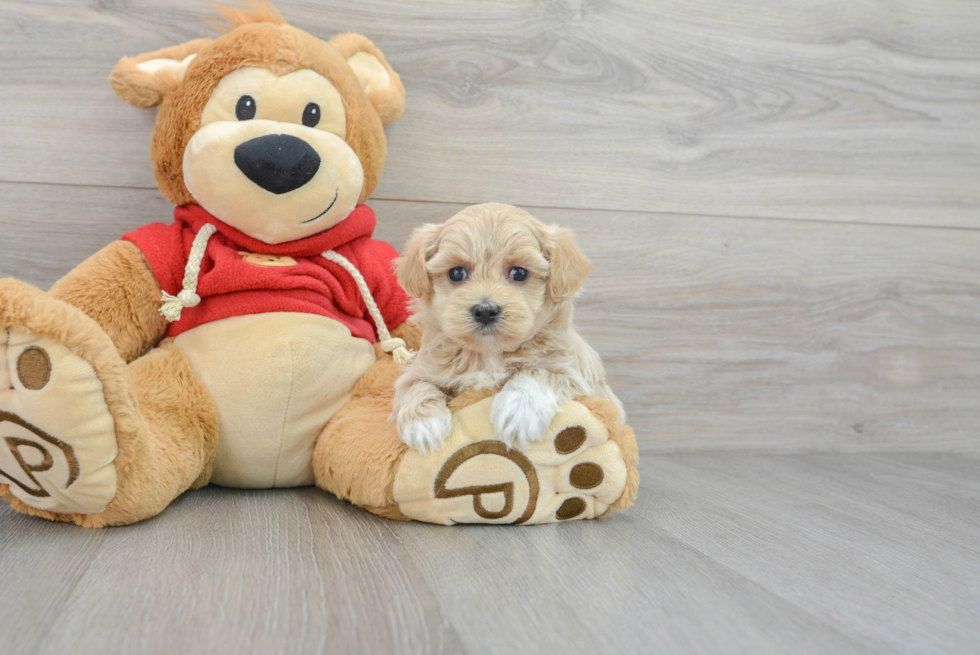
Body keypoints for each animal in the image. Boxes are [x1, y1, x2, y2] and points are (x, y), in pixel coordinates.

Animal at [388, 202, 620, 454]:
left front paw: (519, 410)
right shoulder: (421, 368)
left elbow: (539, 372)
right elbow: (413, 385)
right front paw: (423, 425)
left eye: (519, 273)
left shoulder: (578, 376)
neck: (489, 355)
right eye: (456, 273)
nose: (485, 310)